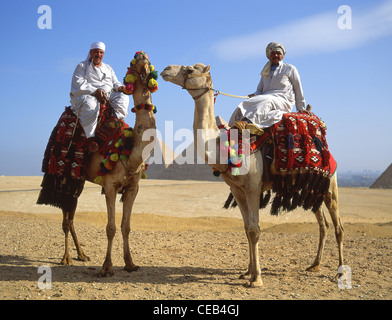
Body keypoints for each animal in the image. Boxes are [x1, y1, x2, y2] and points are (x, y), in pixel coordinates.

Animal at [39, 51, 157, 276]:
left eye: (148, 60)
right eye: (134, 62)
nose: (142, 57)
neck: (130, 151)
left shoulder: (133, 187)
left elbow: (126, 226)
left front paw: (130, 263)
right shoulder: (110, 185)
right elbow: (111, 228)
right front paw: (107, 267)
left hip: (77, 180)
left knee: (71, 214)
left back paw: (82, 254)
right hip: (62, 174)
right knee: (66, 218)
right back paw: (66, 258)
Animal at [161, 63, 344, 288]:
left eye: (190, 69)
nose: (166, 69)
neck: (221, 146)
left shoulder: (253, 187)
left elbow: (255, 230)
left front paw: (256, 278)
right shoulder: (237, 190)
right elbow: (246, 228)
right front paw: (247, 271)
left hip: (330, 185)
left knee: (338, 226)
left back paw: (340, 272)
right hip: (311, 188)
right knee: (323, 225)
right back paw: (315, 264)